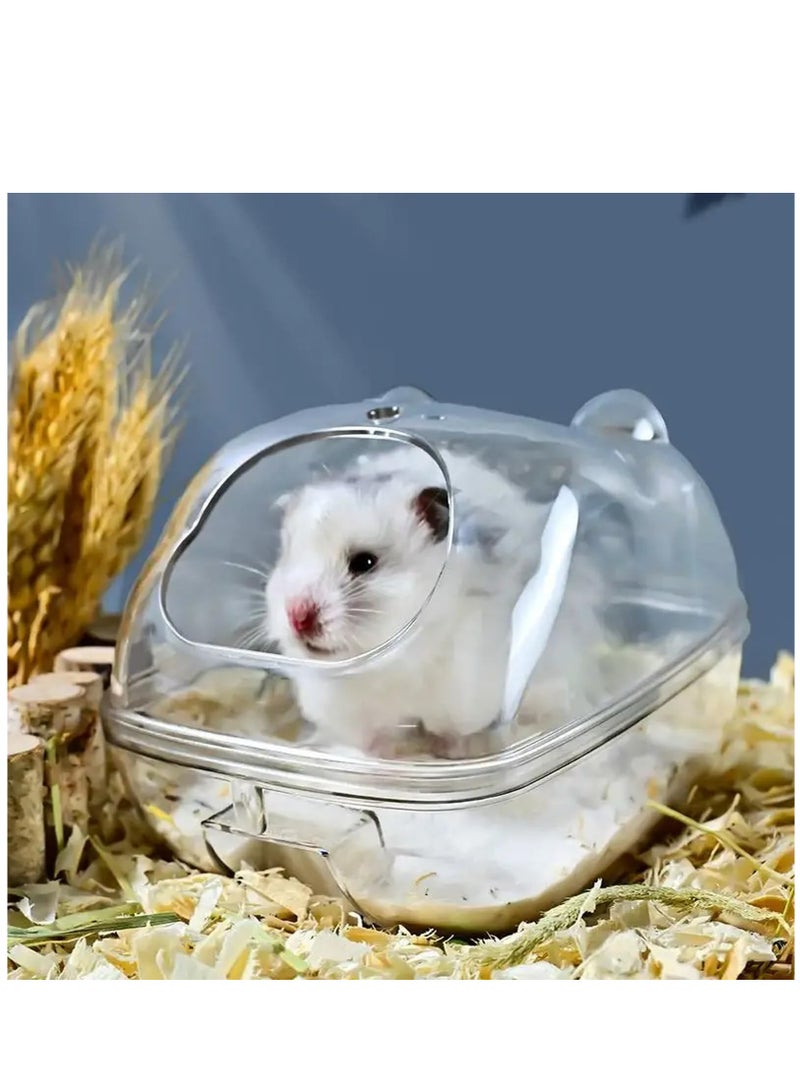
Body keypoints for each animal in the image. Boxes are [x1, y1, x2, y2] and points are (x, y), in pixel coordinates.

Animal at [264, 443, 605, 758]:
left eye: (365, 562)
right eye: (287, 555)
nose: (297, 617)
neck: (393, 662)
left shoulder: (466, 694)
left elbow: (453, 732)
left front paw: (450, 753)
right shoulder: (352, 714)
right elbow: (370, 742)